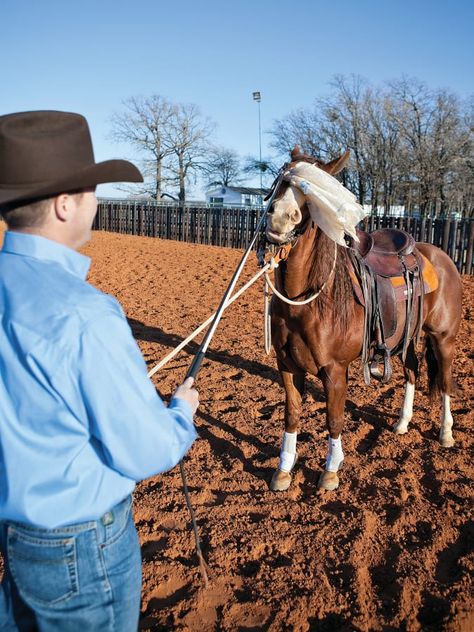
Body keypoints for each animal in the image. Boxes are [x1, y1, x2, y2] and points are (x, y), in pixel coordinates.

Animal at [266, 149, 462, 494]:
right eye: (283, 177)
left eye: (318, 188)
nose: (280, 217)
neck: (307, 300)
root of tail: (441, 257)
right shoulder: (287, 364)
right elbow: (291, 415)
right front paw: (284, 470)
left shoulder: (334, 370)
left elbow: (334, 419)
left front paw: (331, 471)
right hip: (406, 337)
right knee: (412, 370)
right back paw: (402, 422)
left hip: (443, 338)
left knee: (446, 381)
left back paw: (446, 433)